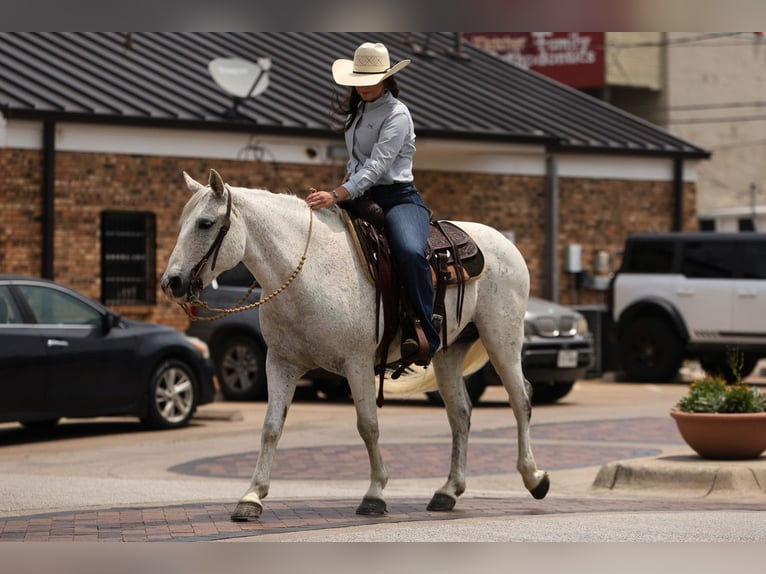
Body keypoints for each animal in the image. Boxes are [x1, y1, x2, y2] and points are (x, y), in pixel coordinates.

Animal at [161, 169, 550, 521]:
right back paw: (448, 491)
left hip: (502, 338)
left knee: (520, 399)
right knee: (461, 413)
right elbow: (271, 427)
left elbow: (368, 426)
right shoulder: (281, 362)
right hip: (448, 352)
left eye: (206, 224)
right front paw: (251, 496)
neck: (308, 272)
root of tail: (503, 243)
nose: (171, 282)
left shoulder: (358, 363)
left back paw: (534, 477)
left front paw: (375, 494)